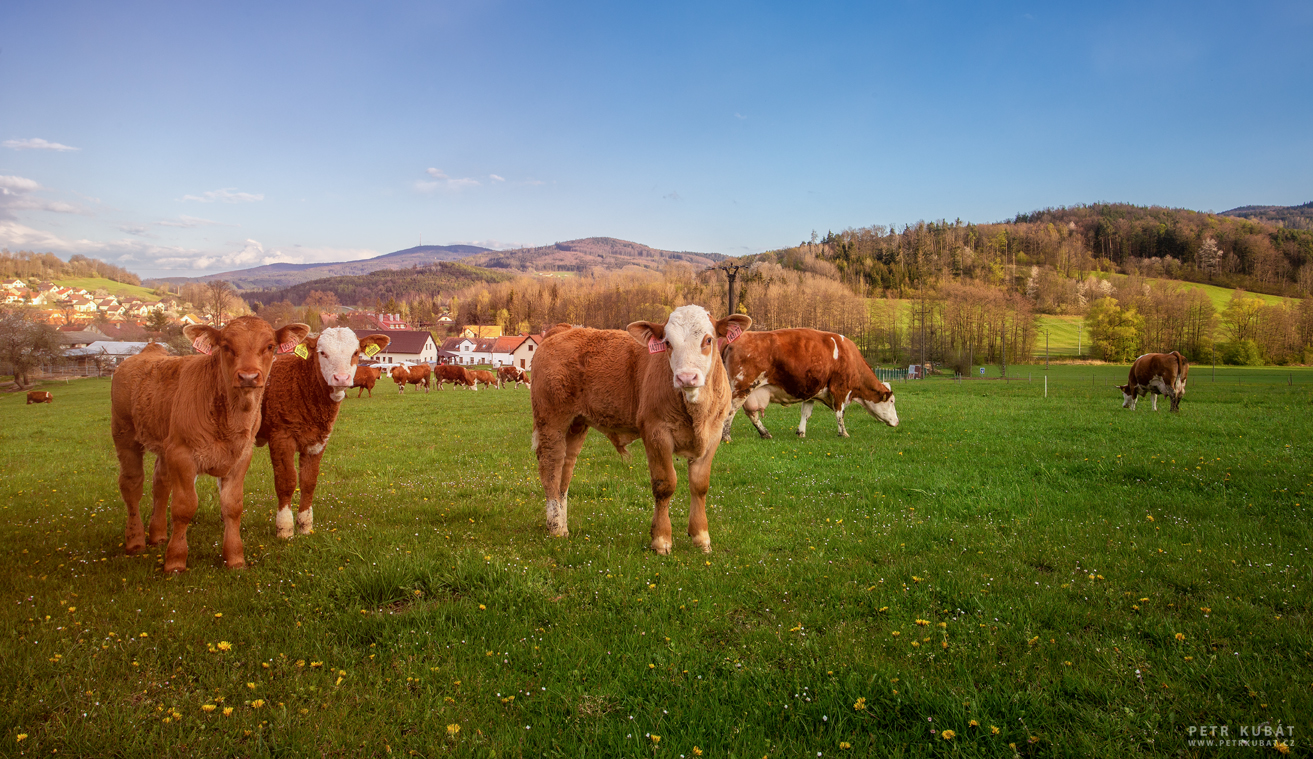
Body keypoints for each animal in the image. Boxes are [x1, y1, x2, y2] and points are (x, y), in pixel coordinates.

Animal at [109, 316, 309, 569]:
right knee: (131, 485)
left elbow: (233, 506)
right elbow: (184, 507)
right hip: (124, 433)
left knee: (160, 484)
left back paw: (158, 535)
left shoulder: (241, 455)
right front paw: (175, 560)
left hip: (164, 443)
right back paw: (135, 541)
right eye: (226, 346)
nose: (248, 377)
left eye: (270, 346)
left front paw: (235, 558)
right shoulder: (182, 454)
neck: (230, 419)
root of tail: (146, 352)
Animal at [257, 328, 388, 535]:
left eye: (355, 353)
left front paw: (305, 525)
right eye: (322, 353)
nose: (341, 378)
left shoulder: (318, 440)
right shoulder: (280, 437)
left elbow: (309, 481)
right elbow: (286, 482)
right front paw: (285, 528)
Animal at [522, 304, 751, 551]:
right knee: (551, 467)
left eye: (708, 340)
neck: (695, 412)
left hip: (576, 424)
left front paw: (701, 537)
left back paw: (562, 524)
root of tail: (565, 329)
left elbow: (699, 486)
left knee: (565, 470)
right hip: (551, 421)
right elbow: (665, 485)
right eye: (667, 343)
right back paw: (555, 527)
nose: (686, 377)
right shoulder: (656, 432)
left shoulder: (713, 435)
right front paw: (661, 539)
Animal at [724, 326, 898, 443]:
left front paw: (801, 432)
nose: (897, 422)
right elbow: (840, 414)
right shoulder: (840, 389)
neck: (850, 356)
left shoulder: (812, 393)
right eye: (891, 401)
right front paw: (843, 433)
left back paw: (765, 433)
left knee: (751, 414)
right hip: (741, 388)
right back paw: (726, 436)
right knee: (730, 411)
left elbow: (805, 413)